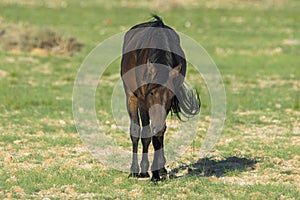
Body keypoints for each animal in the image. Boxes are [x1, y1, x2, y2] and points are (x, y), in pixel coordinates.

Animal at [120, 14, 200, 182]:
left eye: (170, 95)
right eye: (151, 93)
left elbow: (159, 133)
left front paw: (159, 171)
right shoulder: (143, 101)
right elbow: (146, 134)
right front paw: (146, 171)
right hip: (131, 96)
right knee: (135, 131)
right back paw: (134, 170)